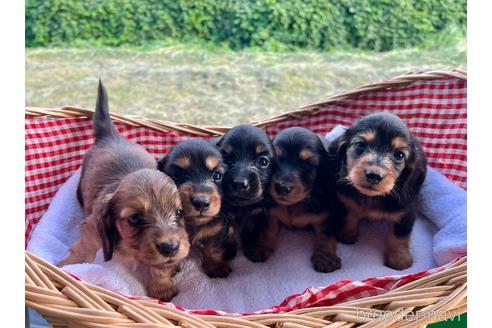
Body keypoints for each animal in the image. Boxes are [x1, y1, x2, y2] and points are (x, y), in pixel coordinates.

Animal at [57, 80, 188, 302]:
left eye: (179, 213)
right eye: (135, 219)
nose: (171, 248)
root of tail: (111, 135)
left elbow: (160, 268)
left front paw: (161, 287)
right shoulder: (92, 230)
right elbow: (82, 251)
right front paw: (66, 267)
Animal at [157, 140, 235, 278]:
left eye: (217, 175)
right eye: (178, 175)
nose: (201, 203)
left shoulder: (218, 228)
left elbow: (213, 248)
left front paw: (216, 267)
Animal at [214, 124, 276, 258]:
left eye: (263, 162)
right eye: (226, 161)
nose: (239, 184)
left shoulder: (257, 210)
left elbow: (252, 226)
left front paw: (254, 246)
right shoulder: (223, 211)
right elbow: (227, 227)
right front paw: (226, 249)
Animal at [239, 127, 340, 272]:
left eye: (307, 164)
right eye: (275, 161)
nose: (282, 188)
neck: (295, 204)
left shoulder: (325, 216)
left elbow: (325, 235)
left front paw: (325, 257)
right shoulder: (271, 214)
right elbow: (266, 230)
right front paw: (260, 247)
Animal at [330, 111, 426, 270]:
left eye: (399, 155)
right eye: (360, 144)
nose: (374, 176)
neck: (371, 197)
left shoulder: (405, 212)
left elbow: (399, 234)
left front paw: (399, 258)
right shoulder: (345, 201)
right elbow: (350, 216)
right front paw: (347, 233)